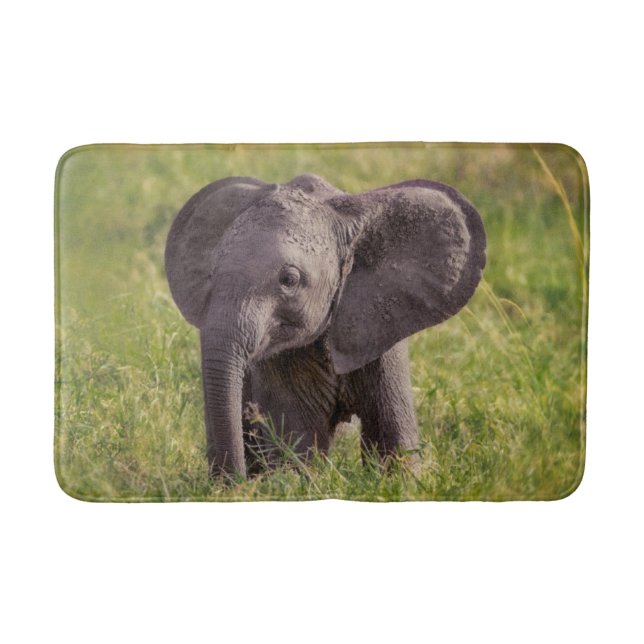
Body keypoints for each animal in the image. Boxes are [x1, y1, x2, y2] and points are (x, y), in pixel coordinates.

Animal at [165, 173, 486, 479]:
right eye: (211, 273)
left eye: (289, 280)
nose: (234, 484)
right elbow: (297, 443)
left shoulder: (381, 330)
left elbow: (391, 440)